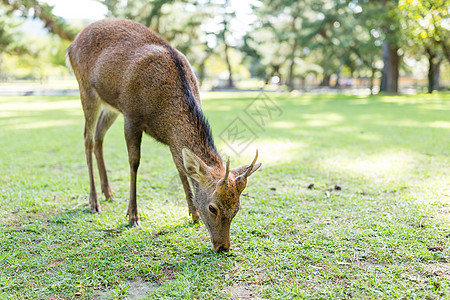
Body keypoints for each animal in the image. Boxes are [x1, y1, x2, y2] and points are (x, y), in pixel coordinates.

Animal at [68, 18, 262, 252]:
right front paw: (132, 215)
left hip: (110, 106)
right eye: (213, 208)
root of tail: (72, 43)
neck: (164, 117)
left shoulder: (171, 139)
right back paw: (94, 201)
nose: (223, 247)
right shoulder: (131, 115)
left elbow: (181, 168)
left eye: (237, 209)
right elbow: (134, 162)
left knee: (98, 138)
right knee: (87, 139)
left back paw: (109, 193)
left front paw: (193, 214)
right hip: (86, 89)